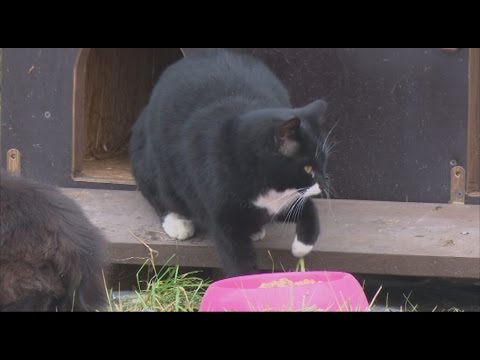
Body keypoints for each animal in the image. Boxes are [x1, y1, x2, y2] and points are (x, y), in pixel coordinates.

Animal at [128, 49, 330, 276]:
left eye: (324, 161)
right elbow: (236, 257)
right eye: (308, 168)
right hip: (155, 162)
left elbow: (309, 209)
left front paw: (300, 247)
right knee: (157, 190)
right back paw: (176, 221)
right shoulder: (224, 220)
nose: (324, 184)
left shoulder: (286, 199)